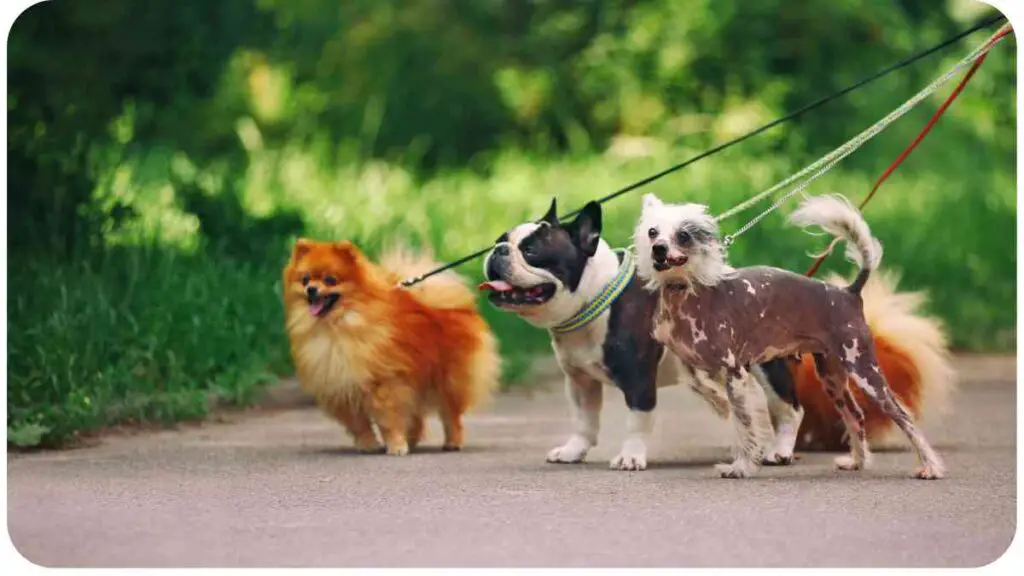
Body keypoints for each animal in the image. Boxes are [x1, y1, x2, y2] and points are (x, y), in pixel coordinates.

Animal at [284, 237, 499, 453]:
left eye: (330, 280)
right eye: (305, 279)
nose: (311, 289)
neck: (339, 327)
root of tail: (461, 308)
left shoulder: (385, 383)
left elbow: (388, 420)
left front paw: (395, 445)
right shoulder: (342, 386)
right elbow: (359, 425)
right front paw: (368, 445)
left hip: (448, 381)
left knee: (450, 415)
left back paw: (452, 442)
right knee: (417, 418)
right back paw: (411, 441)